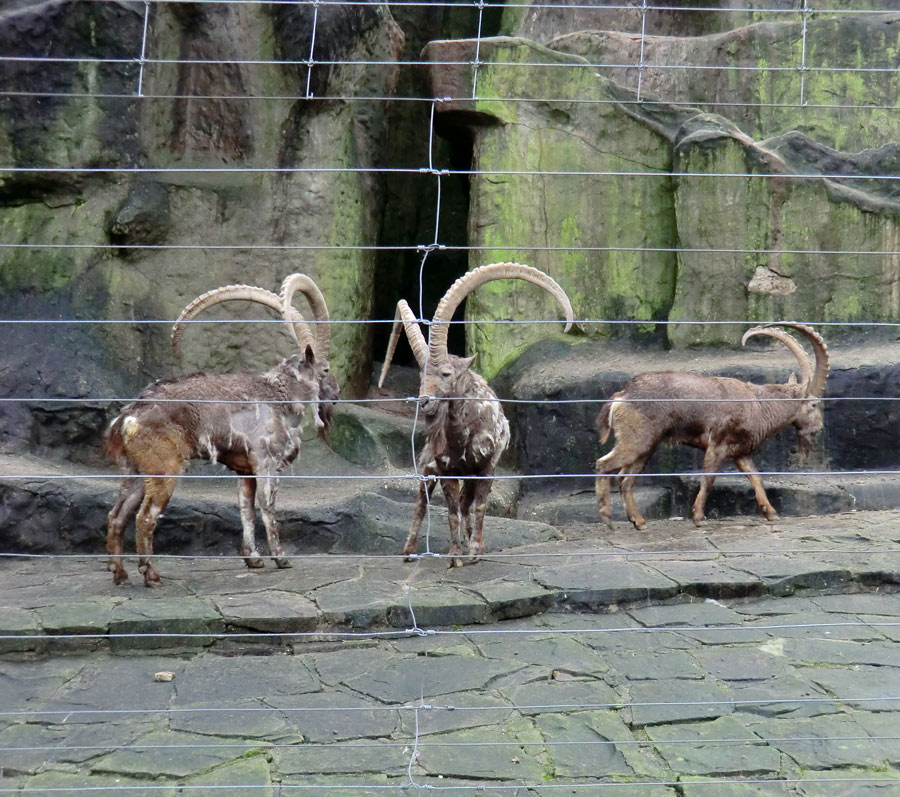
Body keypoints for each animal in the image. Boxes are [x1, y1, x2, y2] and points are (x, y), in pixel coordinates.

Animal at [105, 274, 338, 584]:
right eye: (325, 370)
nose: (336, 394)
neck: (280, 394)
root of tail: (129, 418)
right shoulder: (266, 461)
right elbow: (267, 506)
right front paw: (280, 558)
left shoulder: (244, 470)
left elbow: (246, 510)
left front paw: (253, 559)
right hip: (164, 469)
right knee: (145, 517)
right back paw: (150, 574)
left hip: (134, 471)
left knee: (117, 515)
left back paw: (120, 574)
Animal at [376, 262, 572, 564]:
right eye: (421, 375)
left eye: (446, 373)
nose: (425, 402)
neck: (464, 434)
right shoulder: (446, 469)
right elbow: (452, 512)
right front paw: (455, 555)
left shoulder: (486, 466)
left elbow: (479, 506)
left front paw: (476, 550)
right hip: (428, 466)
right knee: (422, 503)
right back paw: (410, 551)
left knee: (465, 504)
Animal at [596, 320, 828, 532]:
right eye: (814, 404)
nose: (818, 429)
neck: (758, 404)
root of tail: (622, 396)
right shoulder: (718, 444)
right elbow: (708, 478)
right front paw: (698, 517)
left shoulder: (740, 452)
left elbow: (755, 477)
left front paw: (771, 513)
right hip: (636, 441)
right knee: (603, 465)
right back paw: (607, 518)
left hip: (645, 447)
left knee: (624, 479)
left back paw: (638, 521)